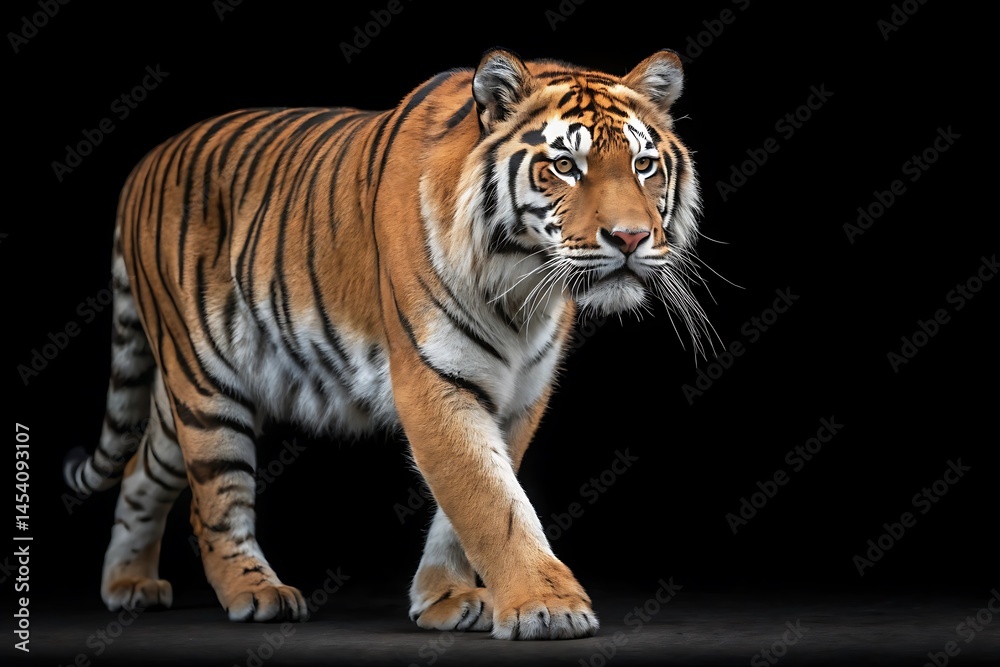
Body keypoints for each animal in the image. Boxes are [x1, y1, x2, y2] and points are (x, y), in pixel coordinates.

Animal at [62, 47, 709, 640]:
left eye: (644, 165)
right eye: (566, 166)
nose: (631, 237)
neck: (521, 283)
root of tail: (145, 164)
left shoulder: (521, 394)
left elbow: (471, 500)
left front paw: (446, 598)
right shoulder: (434, 379)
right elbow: (490, 499)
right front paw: (546, 606)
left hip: (189, 399)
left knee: (140, 471)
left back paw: (128, 584)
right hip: (204, 383)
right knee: (214, 504)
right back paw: (257, 592)